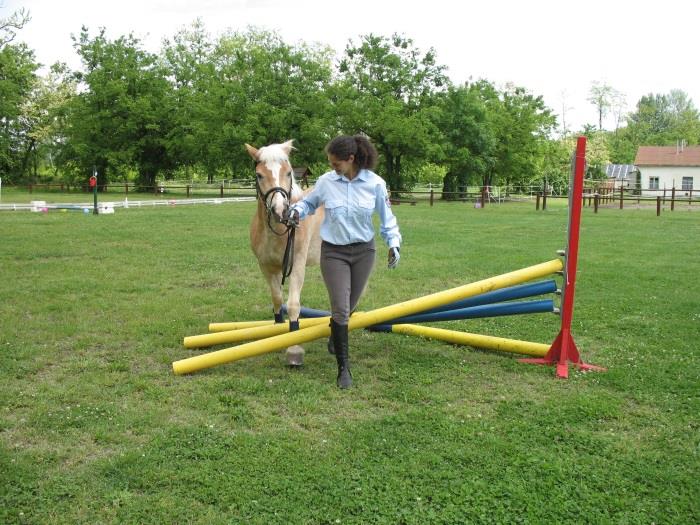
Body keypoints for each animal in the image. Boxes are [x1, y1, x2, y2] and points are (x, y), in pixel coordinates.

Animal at [245, 141, 324, 366]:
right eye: (259, 175)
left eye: (288, 172)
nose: (280, 210)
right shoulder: (267, 267)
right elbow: (277, 300)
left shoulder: (296, 264)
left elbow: (293, 304)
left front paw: (294, 349)